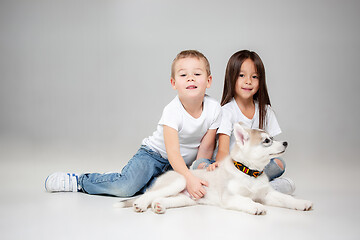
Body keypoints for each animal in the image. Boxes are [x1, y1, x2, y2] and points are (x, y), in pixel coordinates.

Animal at [115, 123, 312, 215]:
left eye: (272, 137)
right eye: (266, 141)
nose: (285, 143)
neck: (250, 173)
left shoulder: (267, 194)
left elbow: (286, 198)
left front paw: (302, 203)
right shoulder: (230, 197)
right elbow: (246, 200)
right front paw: (256, 206)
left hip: (186, 199)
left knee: (160, 198)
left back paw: (159, 206)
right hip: (180, 181)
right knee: (149, 194)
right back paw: (141, 204)